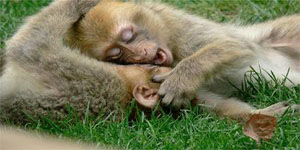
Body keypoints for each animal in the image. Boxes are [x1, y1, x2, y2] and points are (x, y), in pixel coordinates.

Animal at [65, 0, 300, 119]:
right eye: (117, 55)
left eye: (129, 36)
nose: (141, 54)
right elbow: (214, 103)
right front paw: (263, 115)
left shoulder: (180, 28)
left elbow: (234, 45)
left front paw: (181, 79)